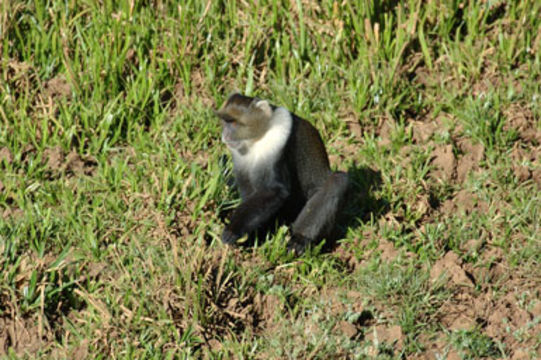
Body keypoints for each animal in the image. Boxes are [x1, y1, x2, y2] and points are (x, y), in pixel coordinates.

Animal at [213, 93, 348, 255]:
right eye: (225, 121)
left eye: (233, 123)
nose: (225, 135)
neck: (256, 139)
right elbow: (249, 191)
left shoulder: (279, 138)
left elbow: (274, 190)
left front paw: (233, 230)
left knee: (337, 181)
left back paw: (300, 240)